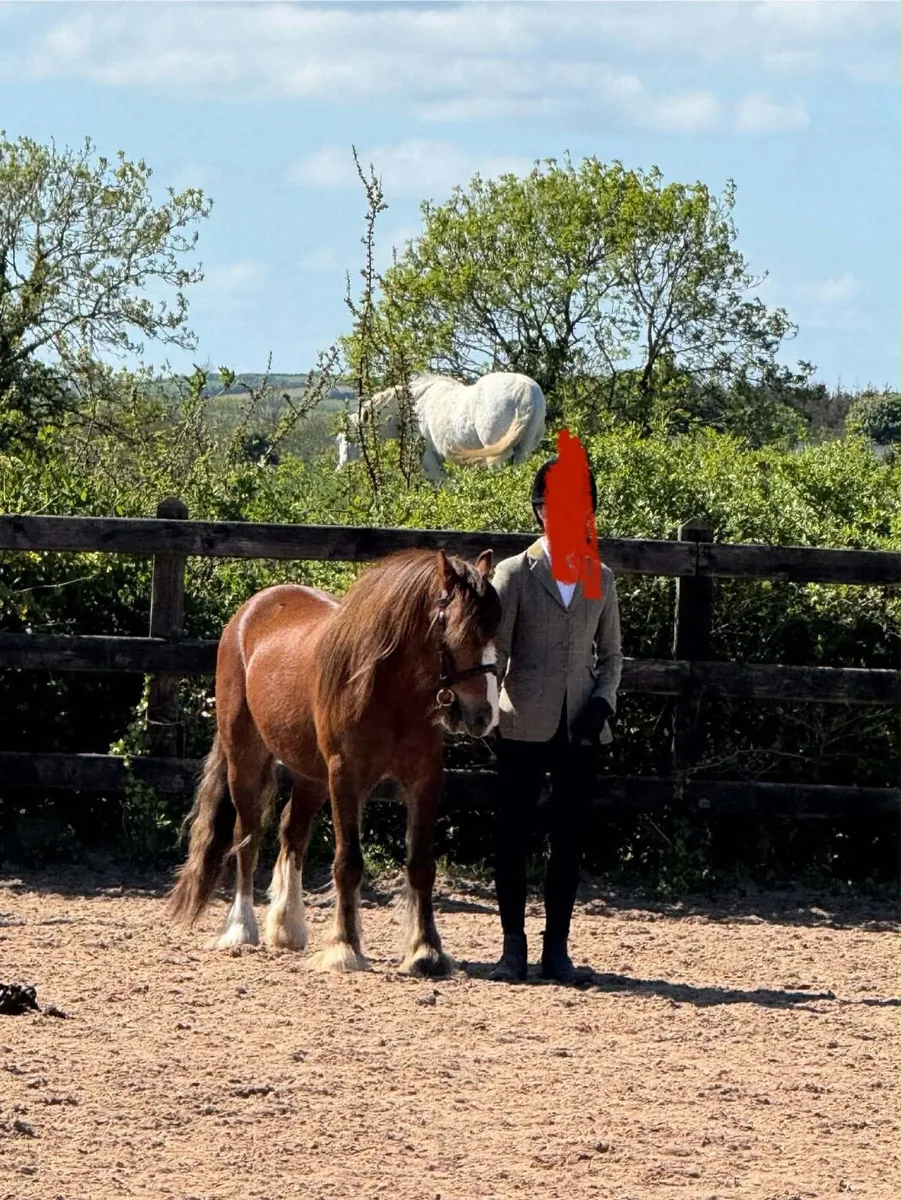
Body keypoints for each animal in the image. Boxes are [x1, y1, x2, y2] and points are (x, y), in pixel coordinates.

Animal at [166, 547, 501, 977]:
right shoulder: (345, 776)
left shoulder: (425, 779)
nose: (483, 715)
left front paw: (426, 951)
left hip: (310, 773)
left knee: (292, 832)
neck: (389, 689)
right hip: (245, 756)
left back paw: (287, 927)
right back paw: (241, 928)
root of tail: (250, 611)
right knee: (249, 834)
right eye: (460, 630)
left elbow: (421, 865)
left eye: (495, 630)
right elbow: (348, 863)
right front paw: (344, 947)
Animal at [338, 370, 547, 483]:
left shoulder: (428, 458)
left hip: (497, 456)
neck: (412, 406)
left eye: (346, 438)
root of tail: (525, 389)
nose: (340, 471)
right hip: (522, 452)